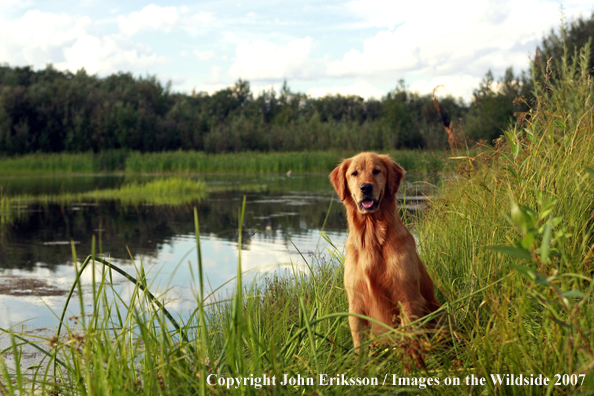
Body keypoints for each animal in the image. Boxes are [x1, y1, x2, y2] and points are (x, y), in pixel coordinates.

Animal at [328, 153, 440, 348]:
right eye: (354, 173)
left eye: (376, 171)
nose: (366, 187)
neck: (371, 238)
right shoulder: (356, 304)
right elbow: (359, 347)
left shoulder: (408, 300)